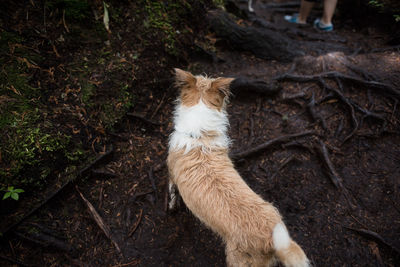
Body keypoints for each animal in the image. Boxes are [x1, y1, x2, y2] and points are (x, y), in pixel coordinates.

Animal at [167, 69, 308, 267]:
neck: (200, 136)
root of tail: (272, 239)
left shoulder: (171, 174)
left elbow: (172, 192)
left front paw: (172, 206)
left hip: (237, 259)